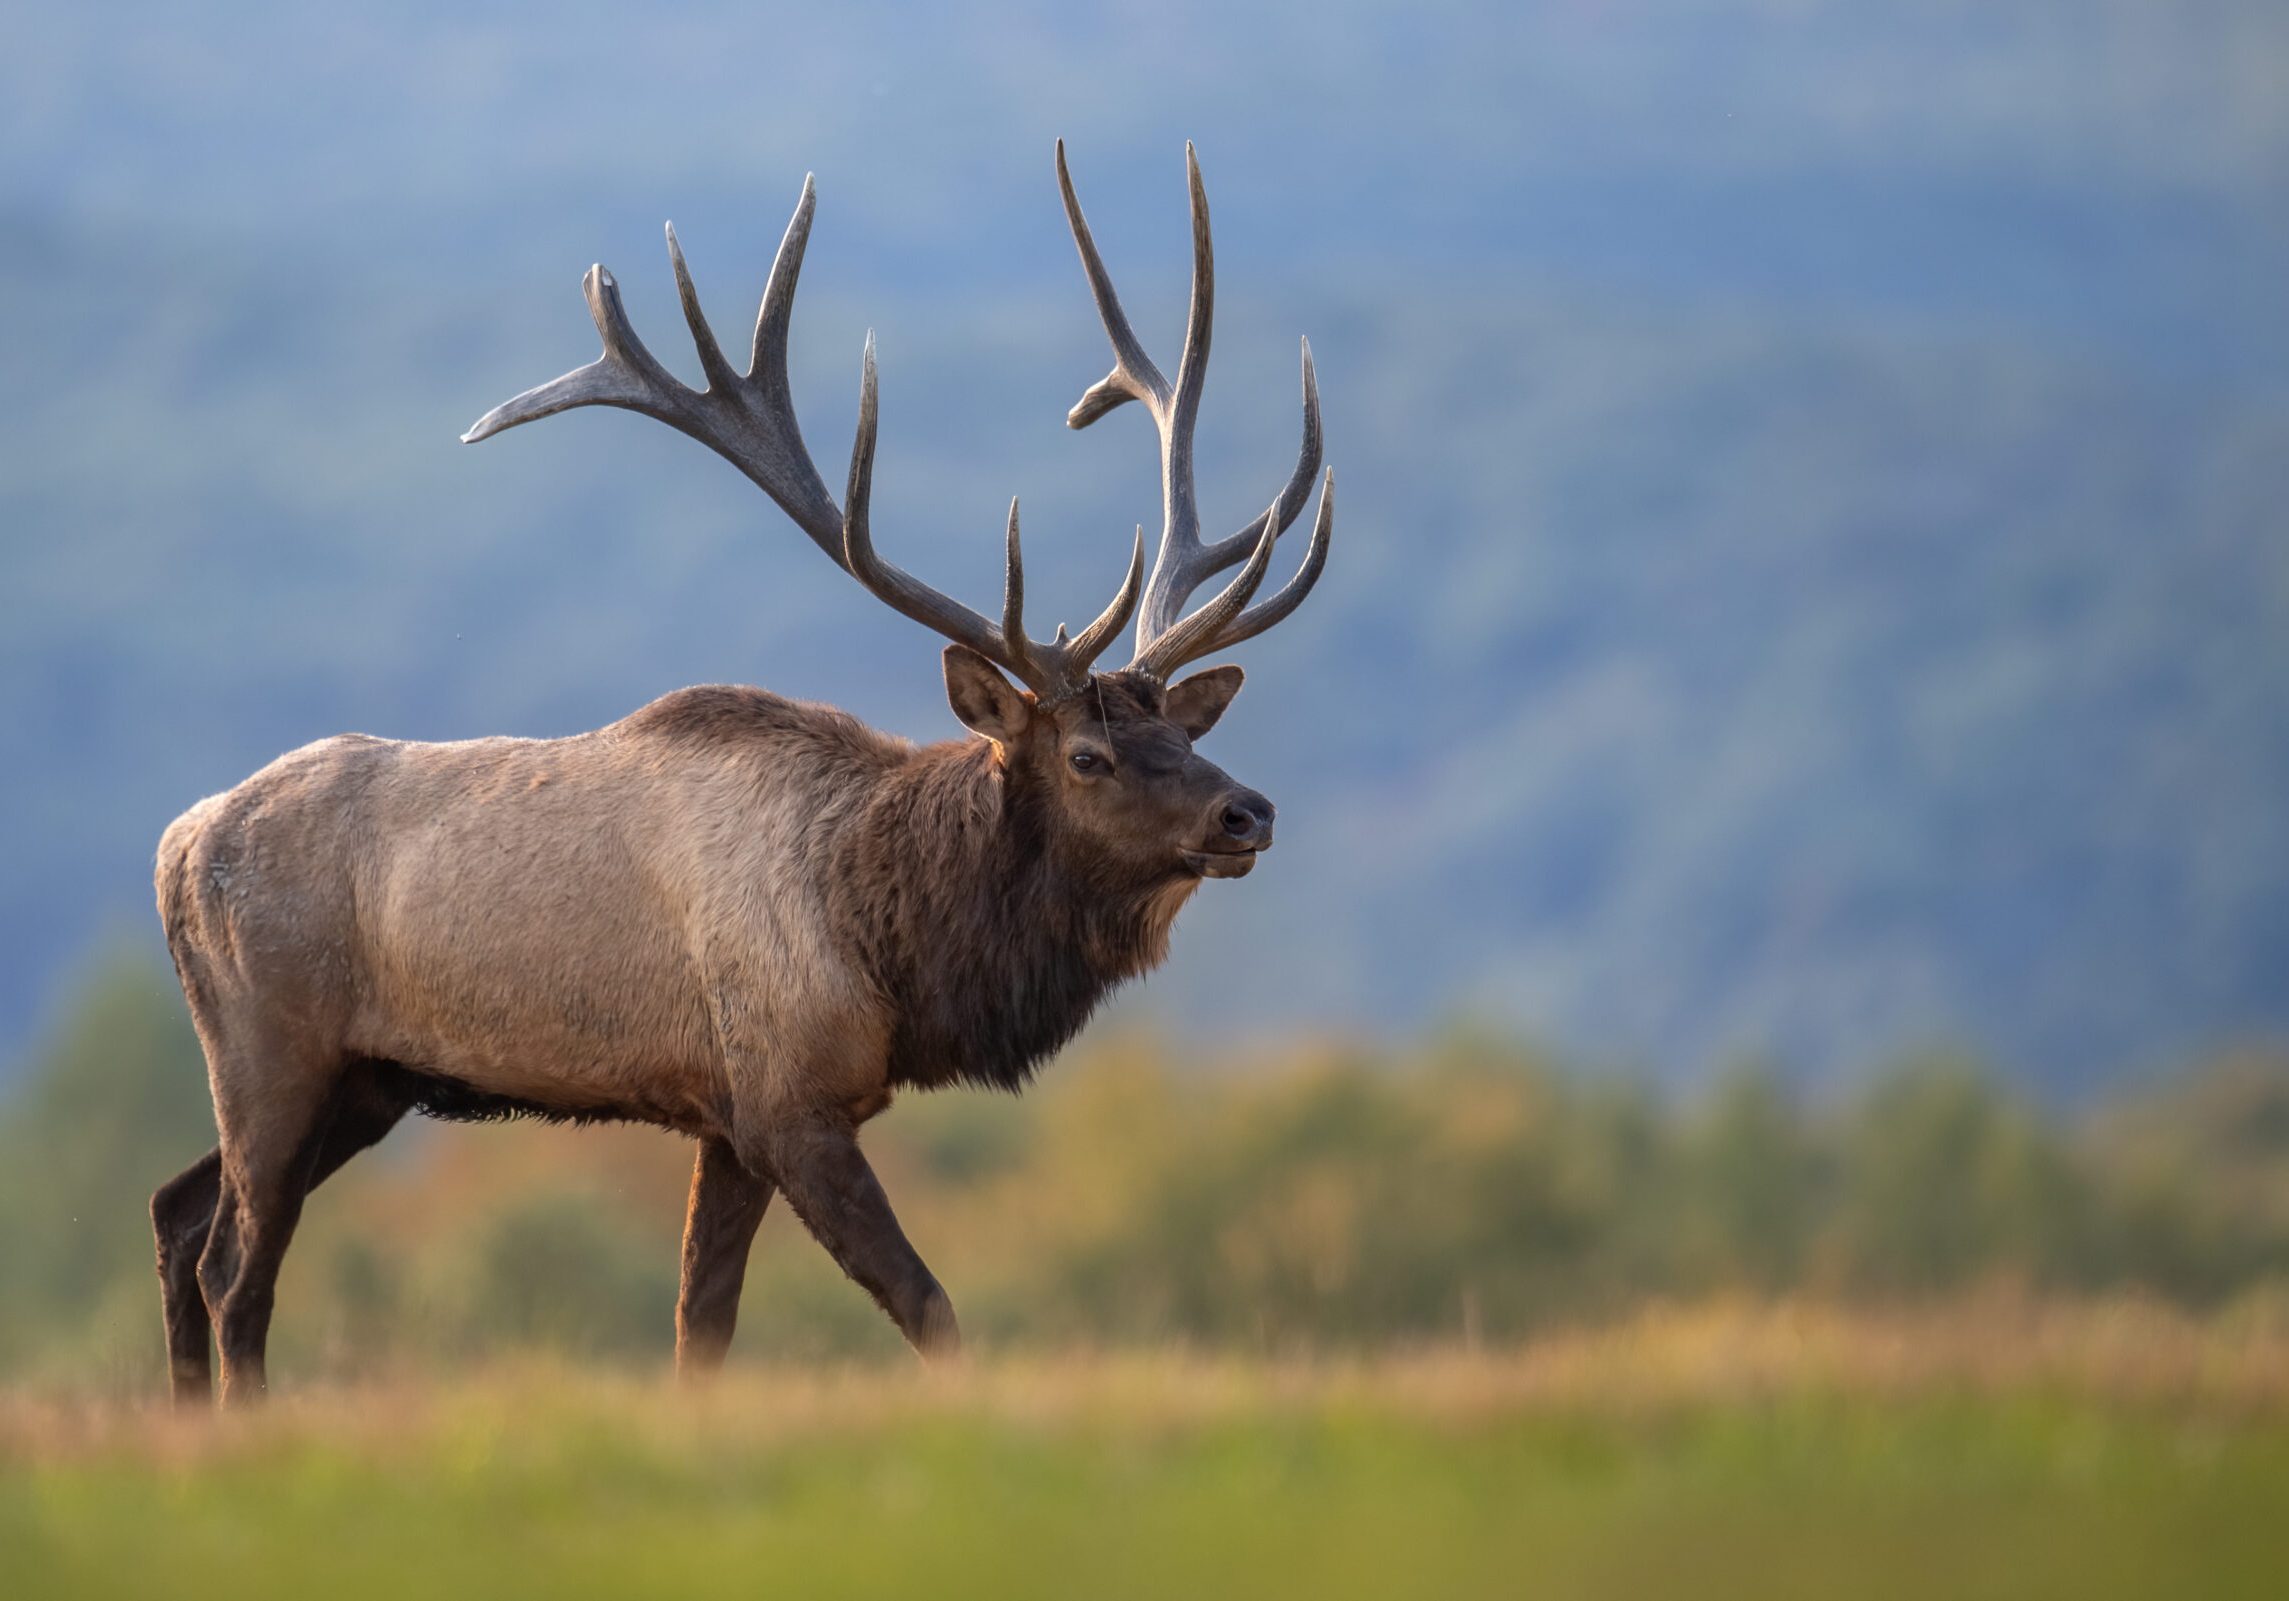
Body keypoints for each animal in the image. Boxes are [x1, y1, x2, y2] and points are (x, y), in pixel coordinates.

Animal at [150, 142, 1332, 1404]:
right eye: (1088, 754)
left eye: (1185, 737)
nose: (1247, 811)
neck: (894, 950)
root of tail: (178, 842)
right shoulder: (784, 1101)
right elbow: (928, 1304)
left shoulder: (722, 1118)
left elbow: (700, 1326)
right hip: (271, 1046)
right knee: (234, 1262)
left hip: (365, 1076)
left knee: (178, 1213)